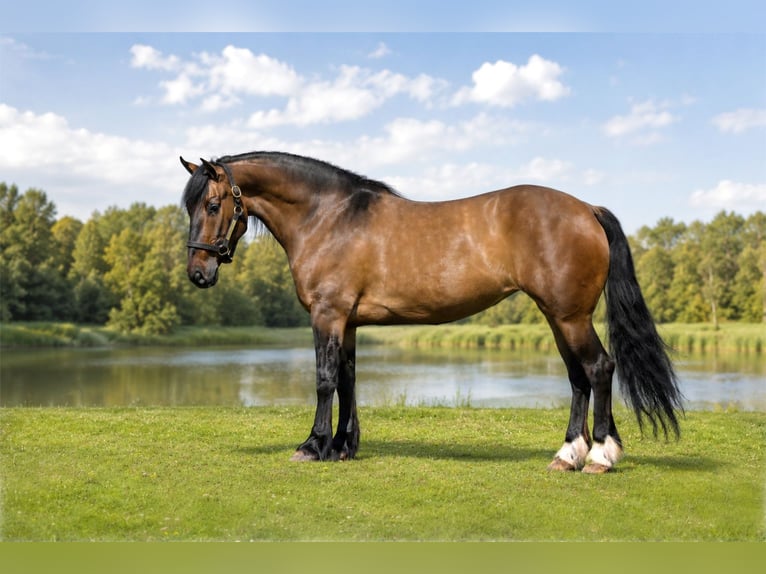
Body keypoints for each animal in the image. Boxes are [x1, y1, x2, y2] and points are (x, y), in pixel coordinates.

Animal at [181, 151, 683, 473]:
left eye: (212, 204)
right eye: (190, 207)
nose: (198, 273)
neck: (330, 217)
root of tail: (587, 209)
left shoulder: (327, 315)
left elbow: (324, 380)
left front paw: (314, 446)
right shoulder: (349, 321)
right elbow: (347, 379)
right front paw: (343, 447)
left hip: (571, 316)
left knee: (599, 368)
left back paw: (600, 457)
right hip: (558, 316)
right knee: (579, 377)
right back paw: (568, 456)